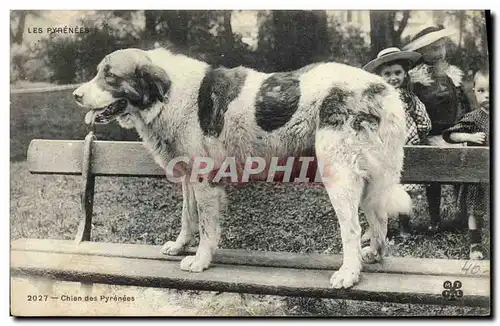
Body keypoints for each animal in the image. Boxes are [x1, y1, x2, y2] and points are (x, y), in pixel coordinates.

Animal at [72, 47, 412, 288]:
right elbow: (187, 218)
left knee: (351, 229)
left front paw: (200, 261)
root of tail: (382, 88)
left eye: (110, 76)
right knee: (379, 220)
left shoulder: (205, 182)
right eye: (99, 73)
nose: (75, 95)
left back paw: (349, 273)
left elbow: (206, 227)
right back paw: (373, 255)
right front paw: (180, 247)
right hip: (370, 180)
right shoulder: (190, 179)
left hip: (340, 176)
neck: (167, 96)